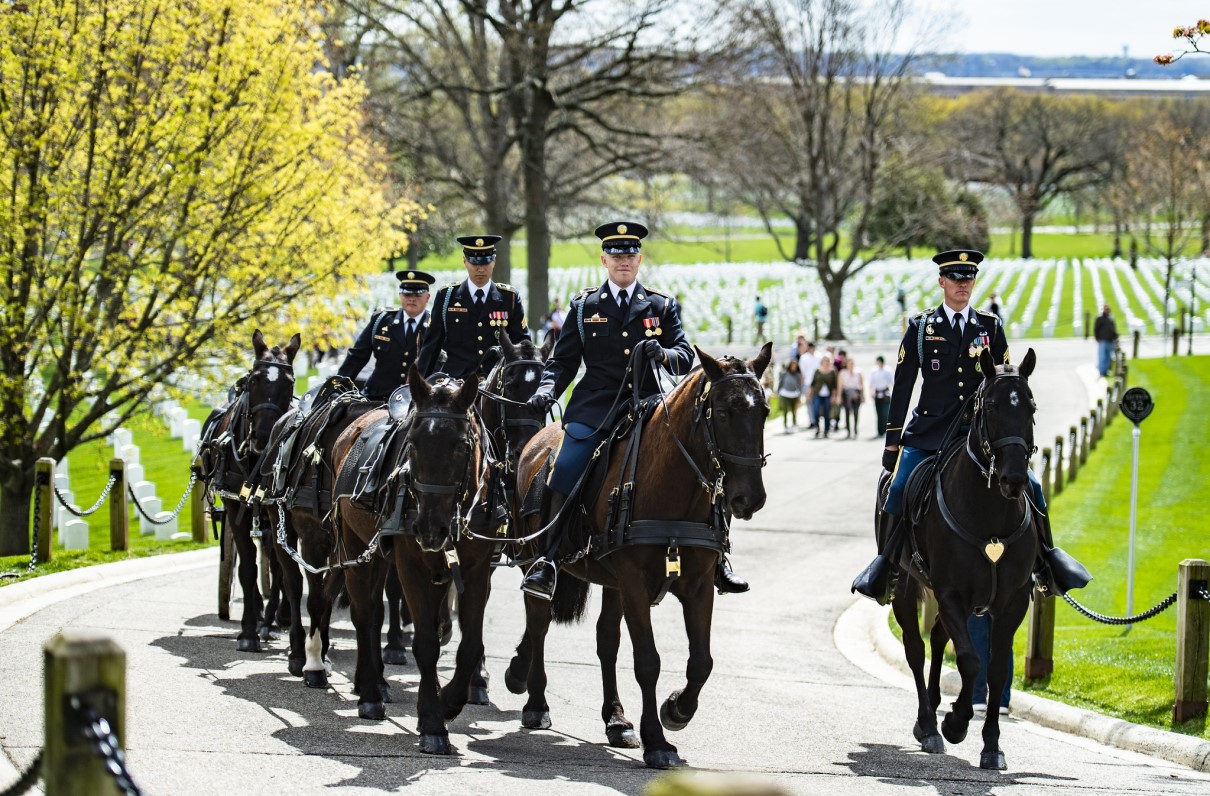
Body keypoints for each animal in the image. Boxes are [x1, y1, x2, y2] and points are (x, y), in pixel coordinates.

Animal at [505, 343, 769, 764]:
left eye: (764, 411)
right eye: (724, 411)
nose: (749, 498)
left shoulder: (697, 587)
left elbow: (702, 661)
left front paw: (676, 710)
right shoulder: (635, 585)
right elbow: (648, 661)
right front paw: (658, 742)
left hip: (611, 583)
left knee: (605, 641)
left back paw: (616, 720)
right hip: (536, 559)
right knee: (539, 621)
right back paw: (534, 700)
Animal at [890, 348, 1040, 769]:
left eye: (1031, 407)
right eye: (990, 406)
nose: (1014, 479)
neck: (989, 514)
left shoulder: (1012, 601)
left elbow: (996, 669)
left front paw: (991, 745)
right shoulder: (951, 593)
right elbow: (971, 661)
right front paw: (956, 722)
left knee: (940, 639)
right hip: (906, 587)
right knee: (916, 649)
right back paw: (928, 724)